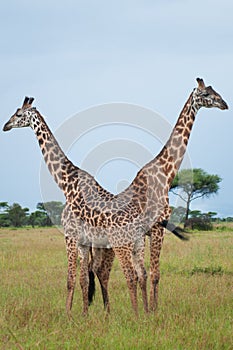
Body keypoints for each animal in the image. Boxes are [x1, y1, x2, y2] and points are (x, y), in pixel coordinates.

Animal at [89, 77, 228, 312]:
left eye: (215, 90)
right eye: (206, 94)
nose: (224, 104)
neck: (165, 174)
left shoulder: (148, 233)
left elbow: (145, 273)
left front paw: (148, 309)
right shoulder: (157, 228)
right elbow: (154, 273)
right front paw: (153, 311)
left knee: (96, 270)